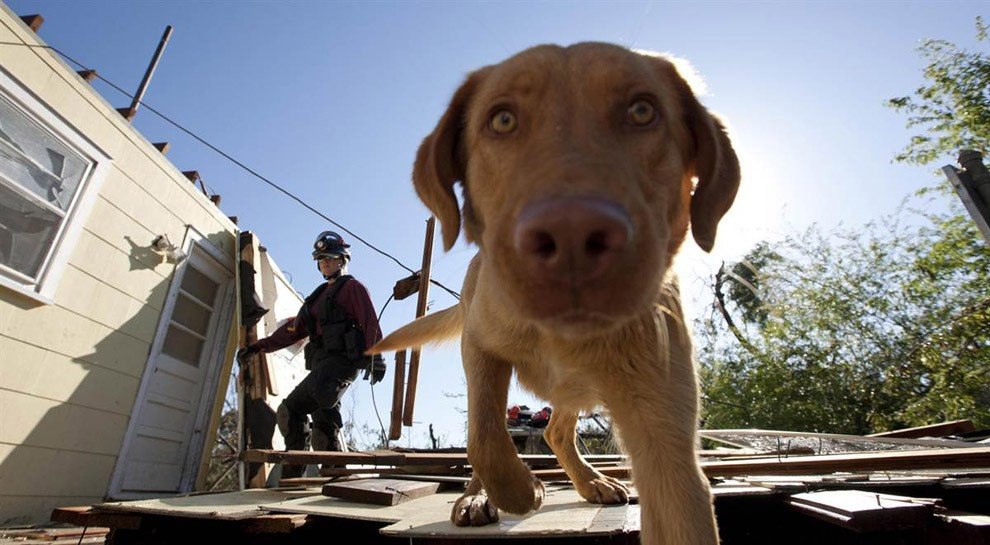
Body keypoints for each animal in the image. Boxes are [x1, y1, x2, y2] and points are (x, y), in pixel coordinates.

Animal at [370, 42, 736, 544]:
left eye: (642, 111)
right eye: (502, 120)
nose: (572, 235)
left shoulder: (667, 444)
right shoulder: (480, 344)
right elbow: (484, 434)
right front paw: (517, 489)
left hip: (579, 389)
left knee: (556, 431)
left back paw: (591, 481)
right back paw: (478, 496)